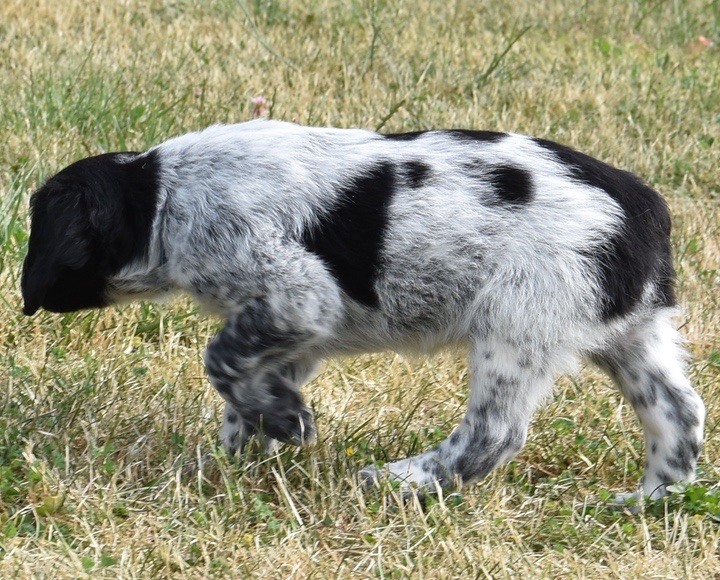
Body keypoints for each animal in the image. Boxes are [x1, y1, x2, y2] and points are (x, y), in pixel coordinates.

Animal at [21, 120, 705, 499]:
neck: (163, 194)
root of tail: (643, 210)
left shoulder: (296, 294)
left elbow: (220, 362)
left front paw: (283, 424)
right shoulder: (292, 328)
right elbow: (244, 390)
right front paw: (239, 455)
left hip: (516, 324)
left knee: (493, 434)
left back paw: (405, 481)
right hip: (630, 336)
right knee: (682, 415)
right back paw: (647, 502)